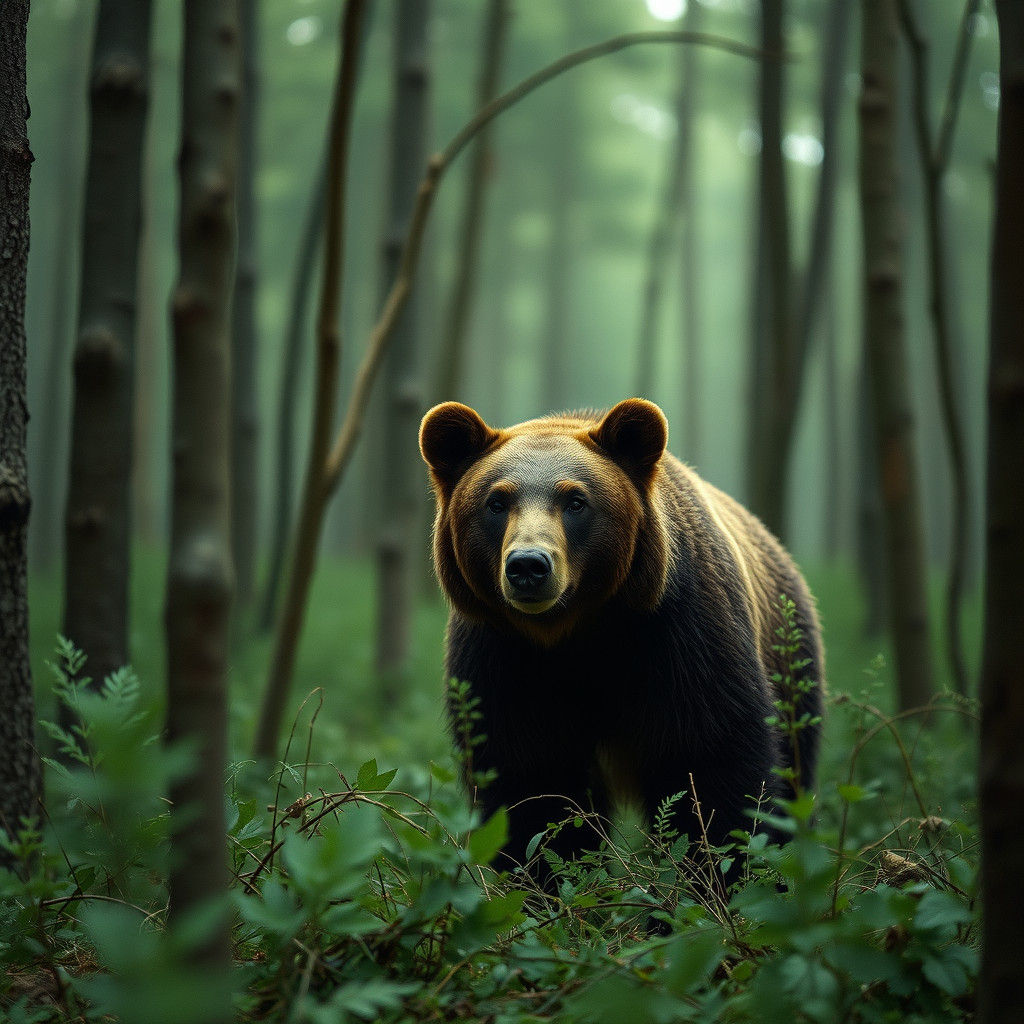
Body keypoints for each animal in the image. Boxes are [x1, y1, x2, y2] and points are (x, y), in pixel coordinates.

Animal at [419, 397, 823, 879]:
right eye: (496, 502)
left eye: (576, 500)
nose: (528, 565)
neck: (577, 629)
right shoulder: (503, 655)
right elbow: (530, 782)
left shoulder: (679, 633)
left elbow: (713, 761)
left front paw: (723, 872)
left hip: (791, 662)